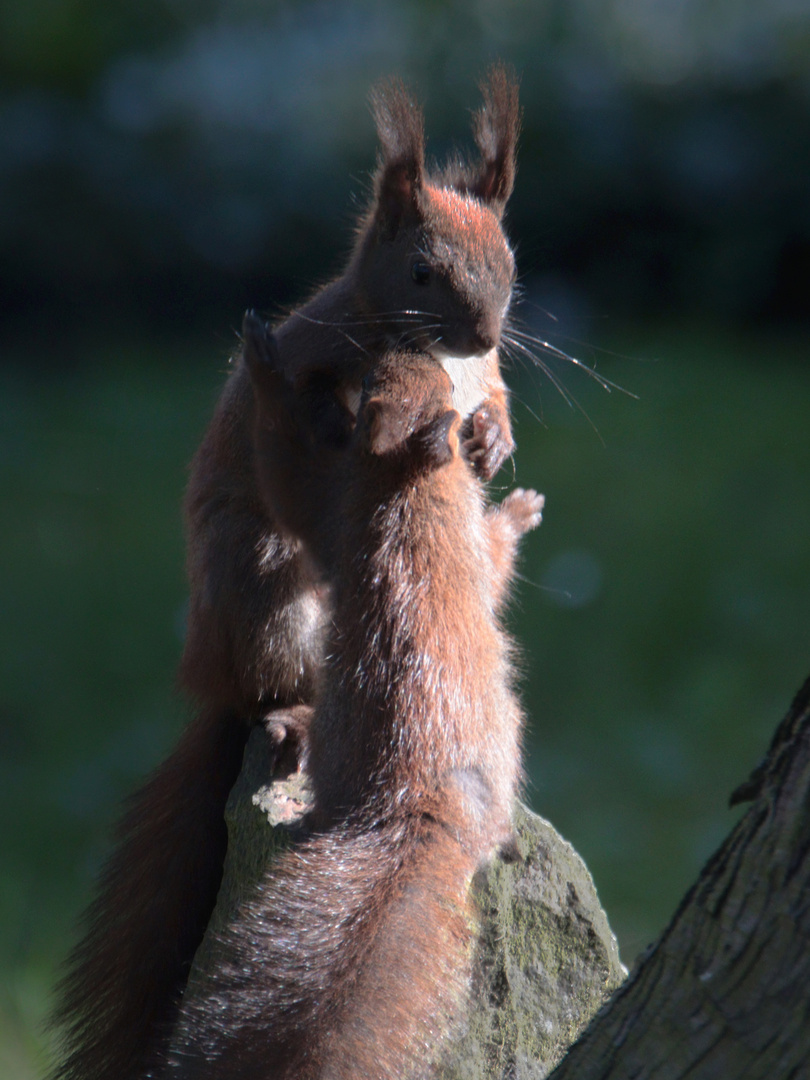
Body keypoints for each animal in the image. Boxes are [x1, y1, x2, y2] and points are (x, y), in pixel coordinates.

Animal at [159, 321, 546, 1080]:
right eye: (428, 385)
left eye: (378, 383)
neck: (400, 489)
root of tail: (416, 799)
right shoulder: (438, 535)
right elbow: (493, 557)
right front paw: (520, 512)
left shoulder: (332, 516)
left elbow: (292, 482)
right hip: (508, 729)